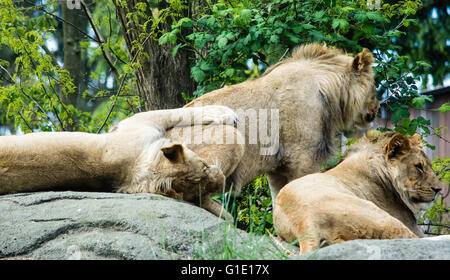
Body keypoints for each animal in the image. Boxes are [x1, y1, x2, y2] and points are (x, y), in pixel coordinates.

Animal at [0, 105, 237, 221]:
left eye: (201, 192)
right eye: (204, 165)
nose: (222, 182)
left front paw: (227, 218)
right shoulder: (138, 122)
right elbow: (179, 112)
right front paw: (225, 113)